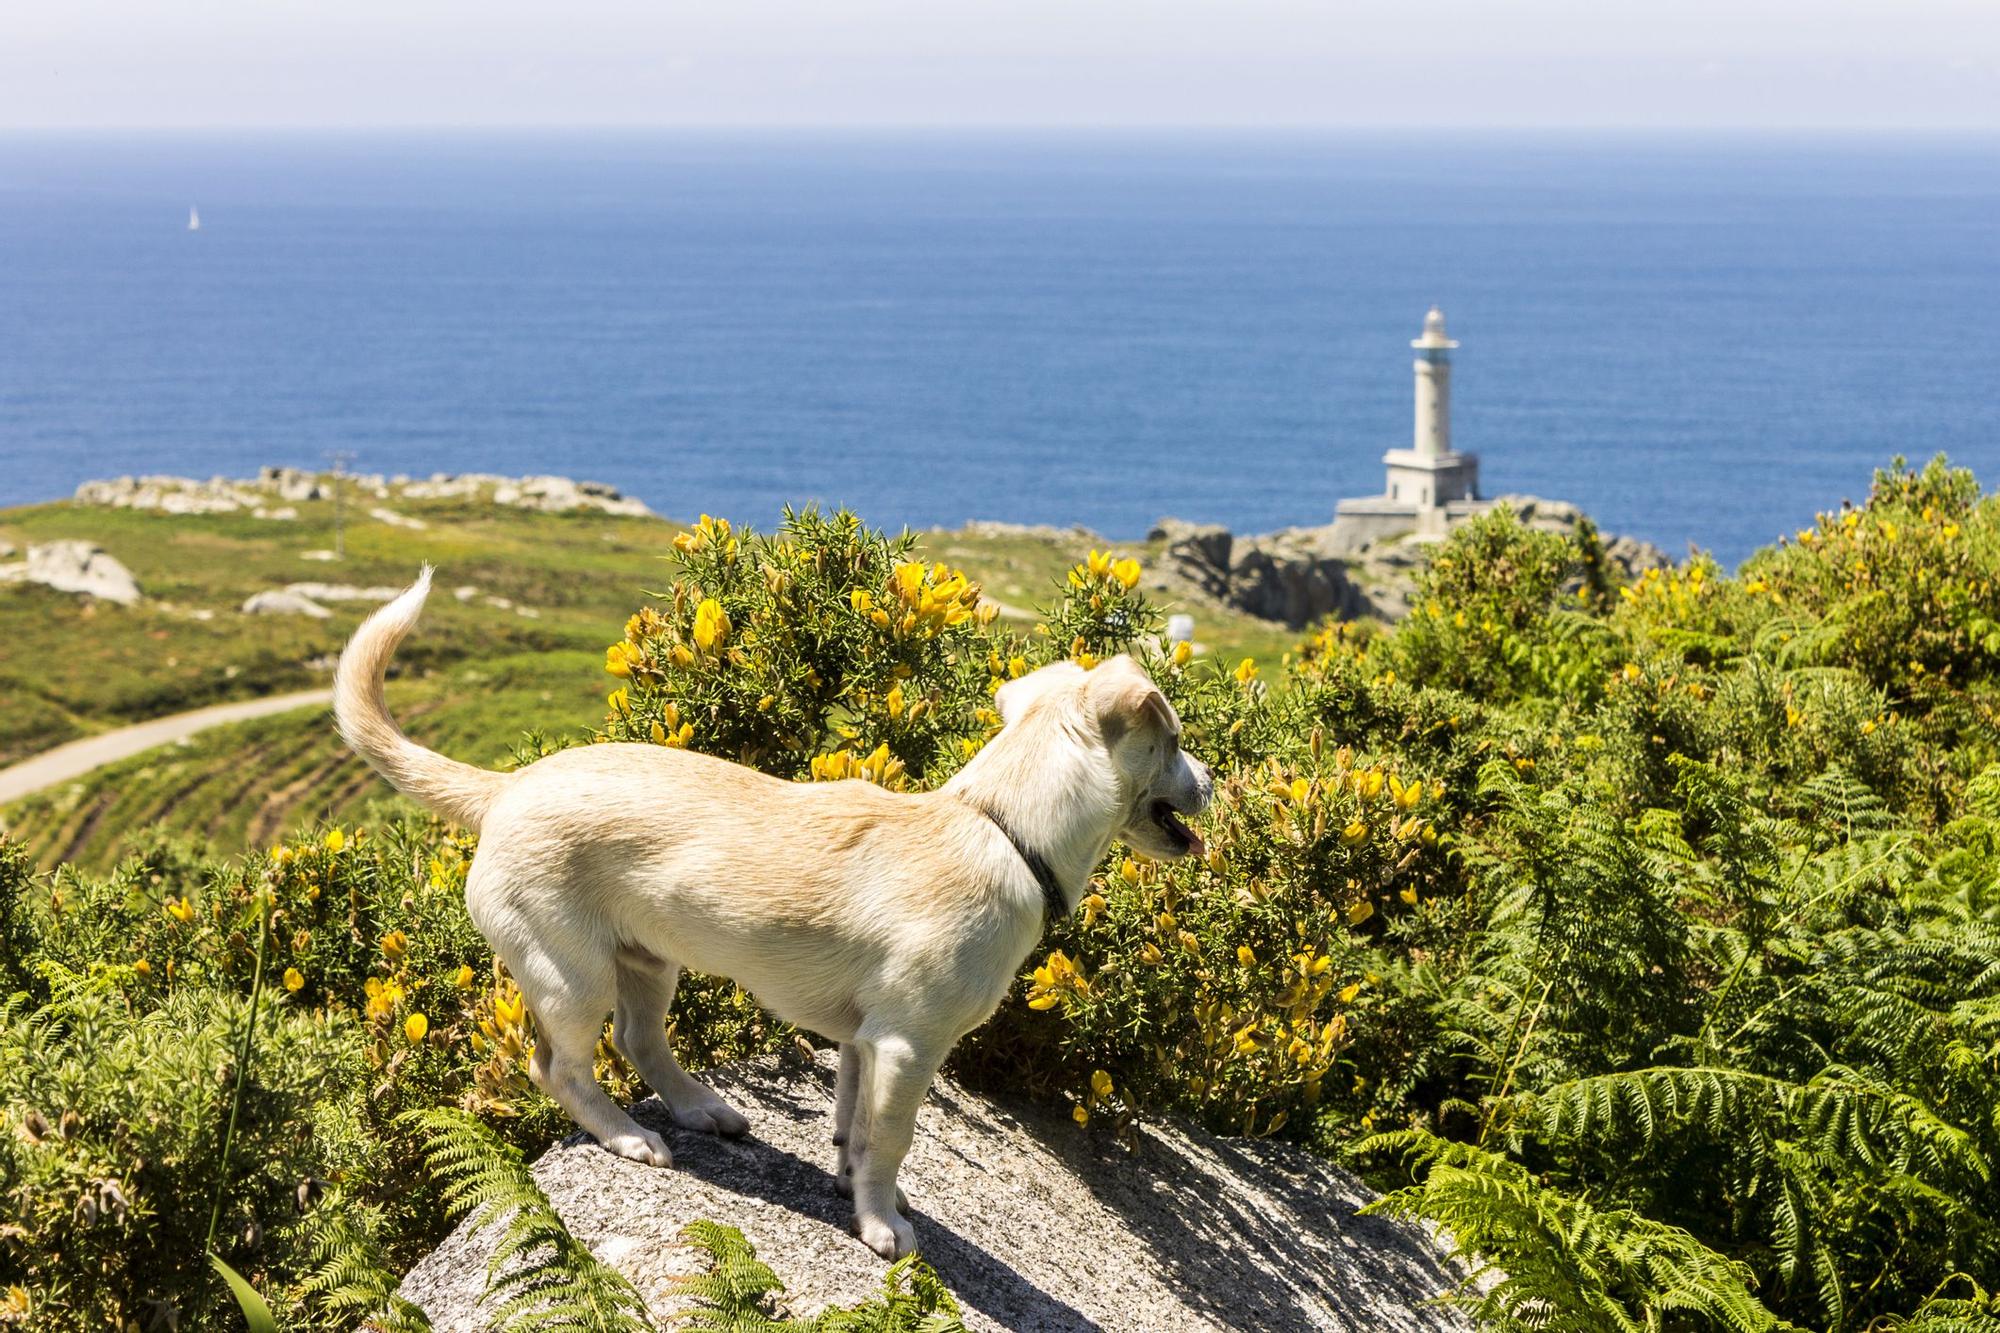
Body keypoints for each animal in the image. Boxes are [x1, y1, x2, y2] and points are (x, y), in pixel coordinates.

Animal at [330, 564, 1208, 1248]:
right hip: (570, 977)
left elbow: (853, 1127)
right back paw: (630, 1136)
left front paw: (855, 1185)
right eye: (1172, 740)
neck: (998, 825)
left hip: (648, 961)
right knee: (560, 1067)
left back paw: (699, 1107)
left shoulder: (862, 1044)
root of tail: (505, 787)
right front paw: (883, 1224)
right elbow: (892, 1139)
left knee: (643, 1041)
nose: (1210, 780)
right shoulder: (906, 1048)